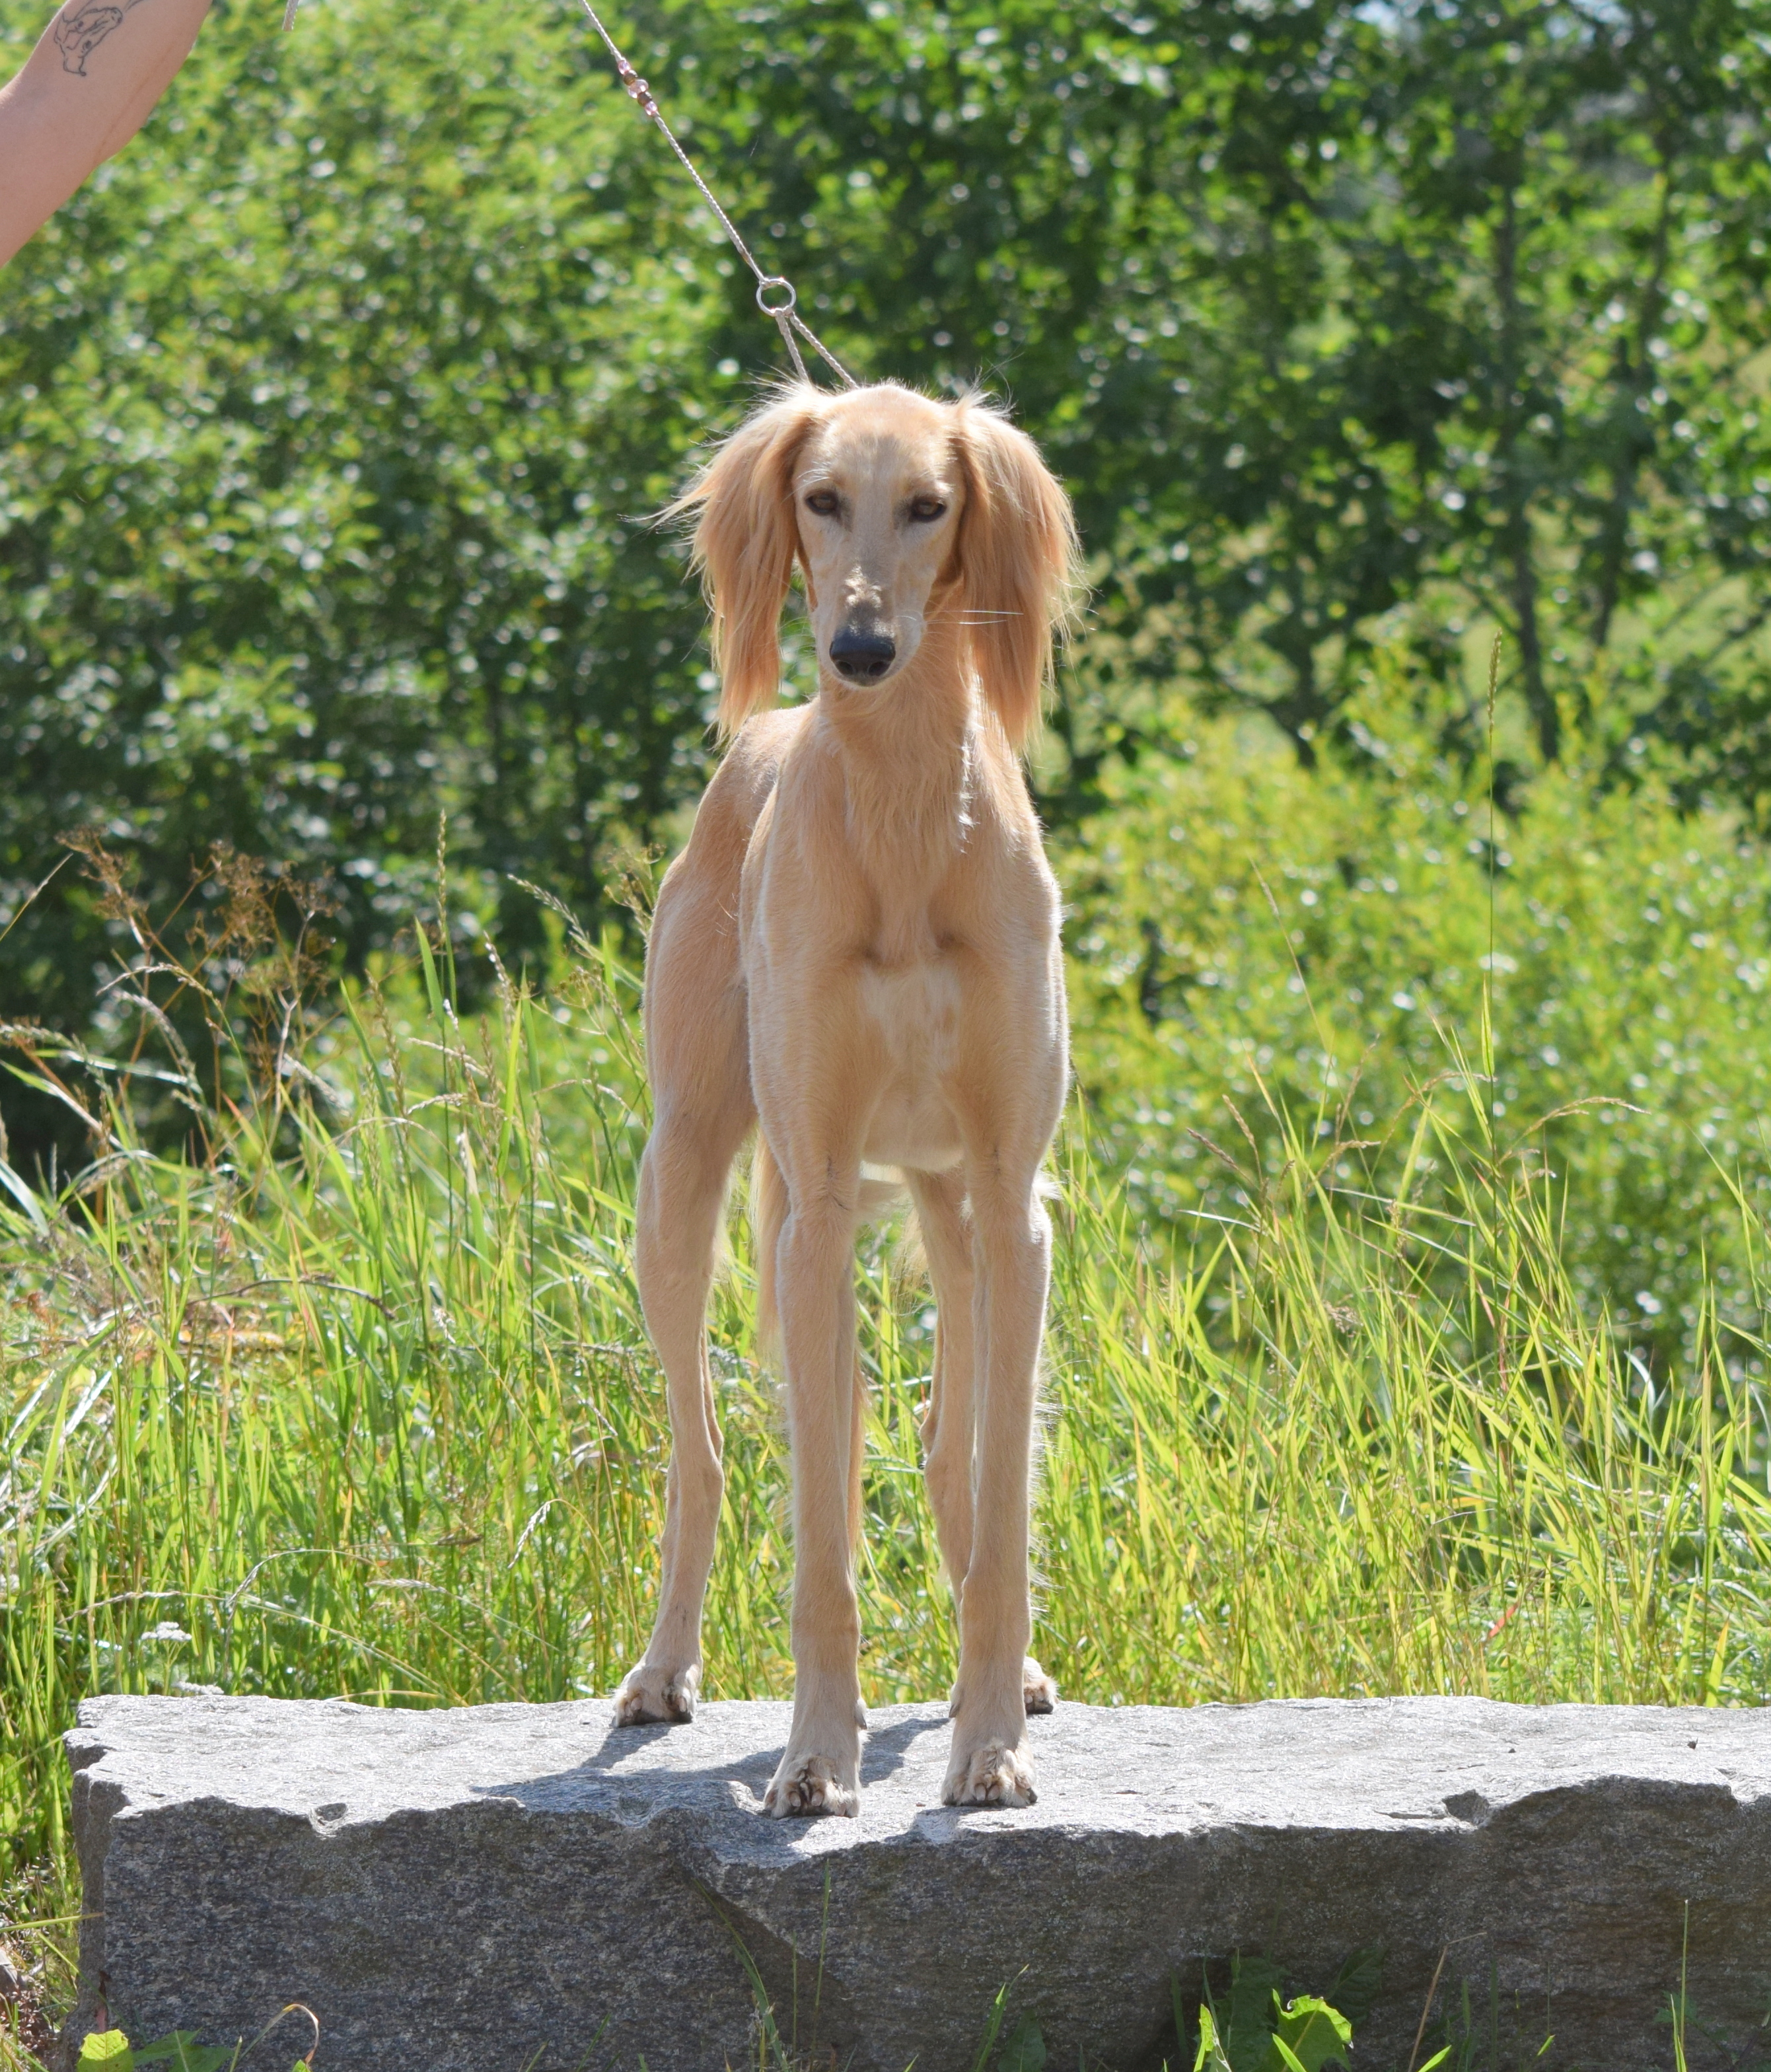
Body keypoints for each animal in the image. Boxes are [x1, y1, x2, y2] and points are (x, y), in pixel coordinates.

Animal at [612, 378, 1080, 1816]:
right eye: (820, 497)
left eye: (930, 503)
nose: (860, 648)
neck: (906, 814)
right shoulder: (813, 1209)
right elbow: (820, 1528)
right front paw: (817, 1750)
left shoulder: (1012, 1198)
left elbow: (1000, 1498)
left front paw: (990, 1739)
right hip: (686, 1187)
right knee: (708, 1448)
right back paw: (663, 1667)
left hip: (951, 1206)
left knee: (945, 1432)